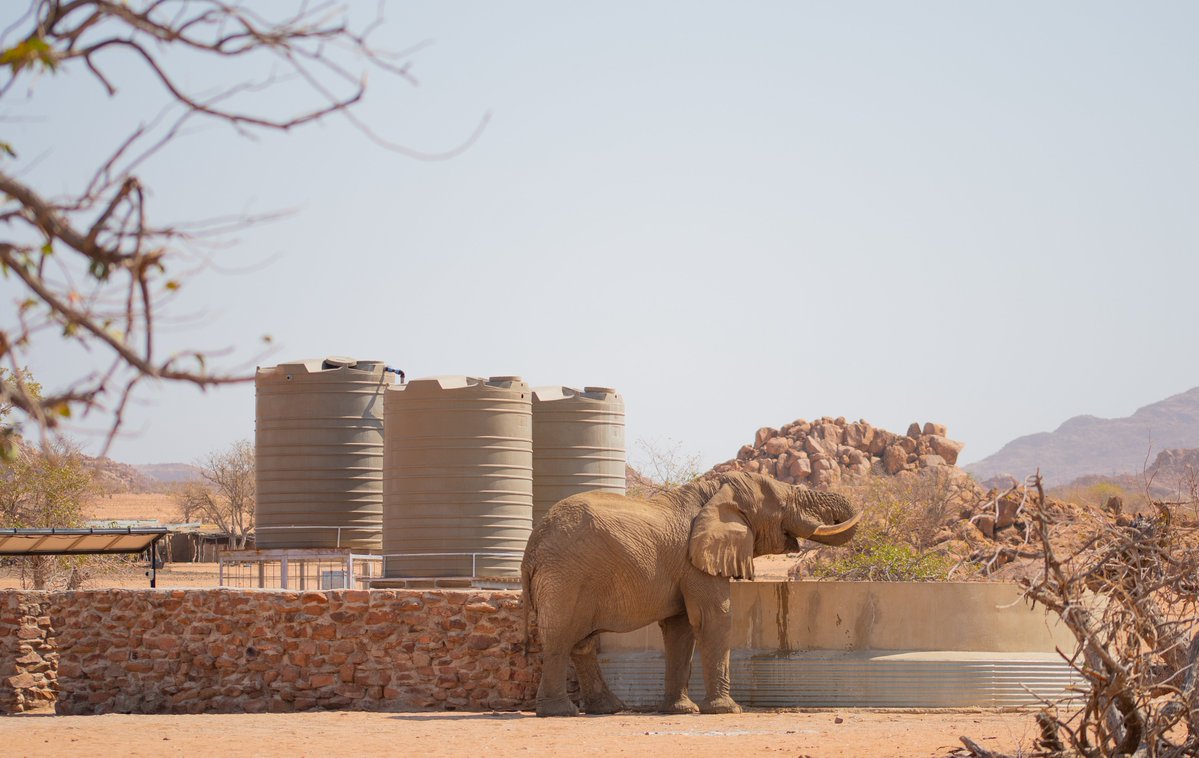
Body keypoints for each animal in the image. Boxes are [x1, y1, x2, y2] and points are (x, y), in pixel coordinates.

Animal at [520, 470, 860, 717]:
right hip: (566, 576)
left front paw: (681, 711)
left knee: (582, 642)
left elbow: (680, 629)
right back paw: (560, 712)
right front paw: (727, 711)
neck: (713, 491)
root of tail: (532, 547)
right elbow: (714, 618)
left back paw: (607, 709)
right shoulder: (695, 561)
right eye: (784, 502)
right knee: (560, 637)